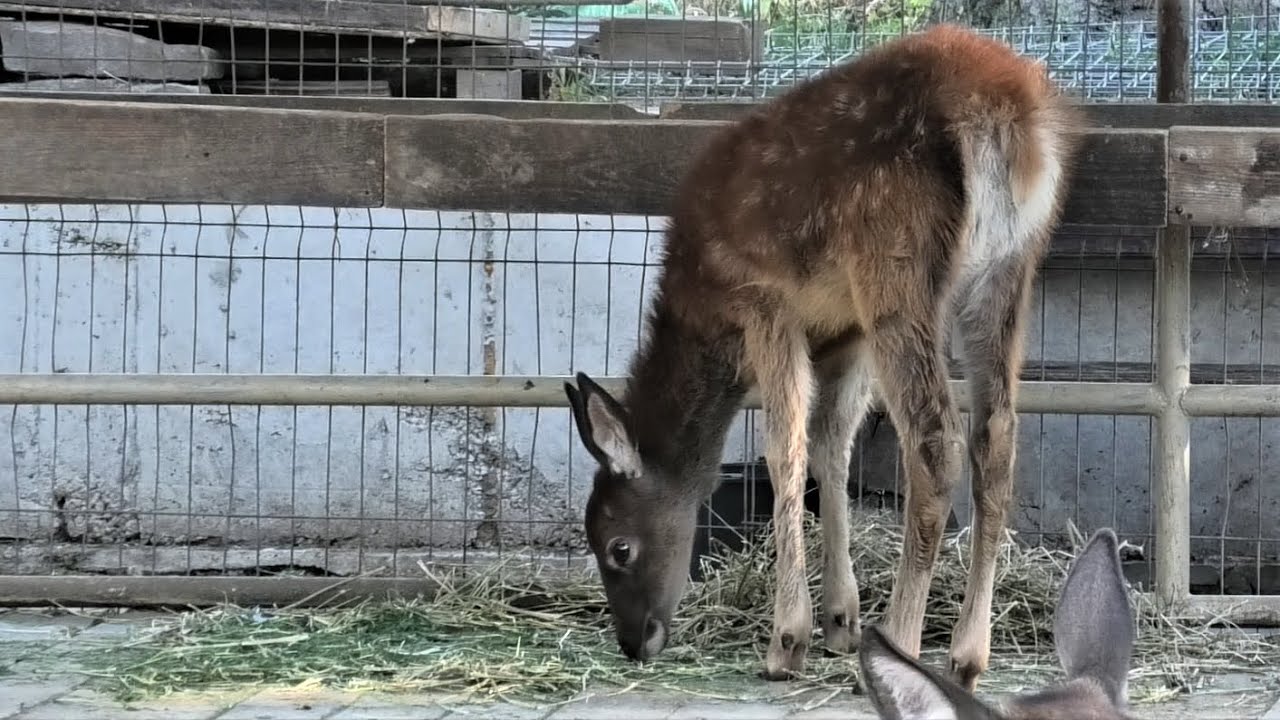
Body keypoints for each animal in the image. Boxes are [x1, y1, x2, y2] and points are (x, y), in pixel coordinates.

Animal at [563, 23, 1085, 688]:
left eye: (618, 547)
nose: (635, 641)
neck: (702, 309)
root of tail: (1008, 115)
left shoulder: (764, 300)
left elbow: (784, 449)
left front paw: (789, 640)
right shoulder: (846, 330)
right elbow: (831, 443)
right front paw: (841, 620)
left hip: (896, 261)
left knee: (935, 438)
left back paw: (901, 645)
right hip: (1011, 268)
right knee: (997, 435)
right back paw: (967, 656)